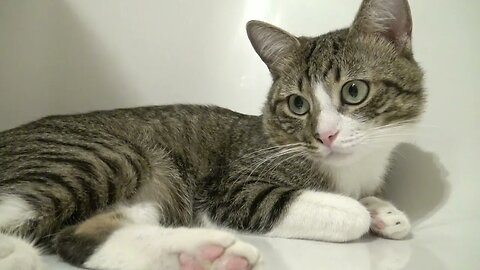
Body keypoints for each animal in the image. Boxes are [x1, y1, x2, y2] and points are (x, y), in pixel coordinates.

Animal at [0, 0, 426, 268]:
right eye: (298, 104)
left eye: (353, 91)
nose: (326, 136)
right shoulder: (233, 187)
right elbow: (333, 209)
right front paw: (360, 210)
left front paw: (384, 211)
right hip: (102, 157)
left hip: (154, 192)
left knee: (74, 237)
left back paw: (201, 254)